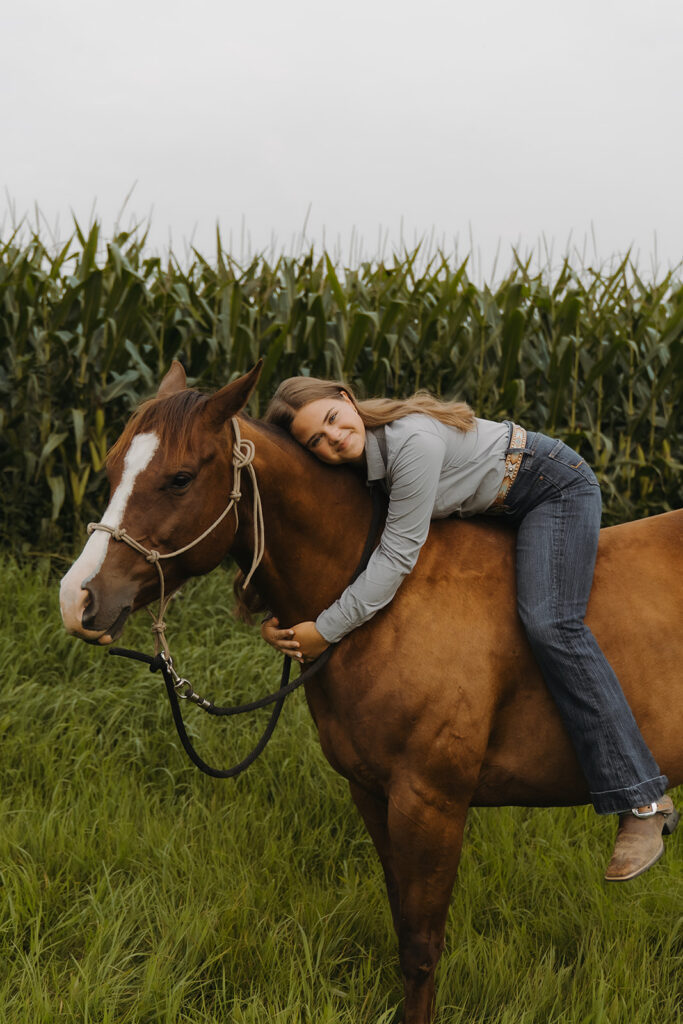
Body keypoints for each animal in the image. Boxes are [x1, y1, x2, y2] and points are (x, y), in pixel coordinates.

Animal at [60, 363, 683, 1024]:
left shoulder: (430, 804)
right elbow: (402, 920)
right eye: (111, 468)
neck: (386, 601)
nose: (78, 598)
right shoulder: (372, 793)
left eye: (179, 478)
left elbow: (421, 946)